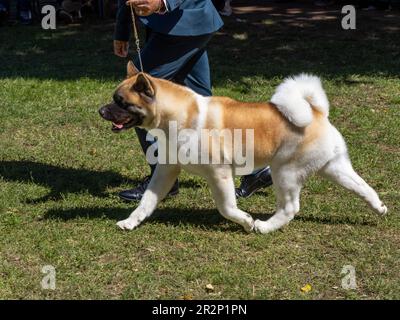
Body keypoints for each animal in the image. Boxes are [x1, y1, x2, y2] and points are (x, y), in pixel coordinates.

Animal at [99, 62, 388, 232]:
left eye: (121, 102)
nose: (101, 110)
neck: (179, 116)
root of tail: (316, 113)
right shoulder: (166, 171)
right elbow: (147, 201)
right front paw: (130, 222)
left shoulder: (220, 174)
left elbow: (226, 207)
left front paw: (246, 221)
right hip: (333, 168)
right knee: (363, 187)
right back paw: (380, 208)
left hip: (285, 173)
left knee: (290, 208)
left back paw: (264, 226)